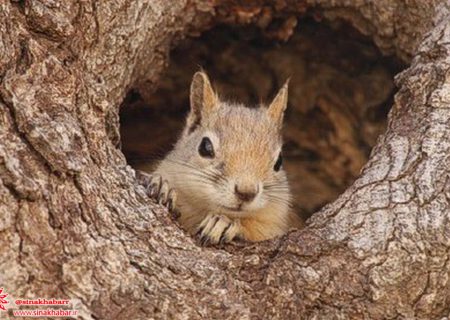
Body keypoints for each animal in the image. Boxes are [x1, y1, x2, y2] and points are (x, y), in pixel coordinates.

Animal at [135, 70, 300, 245]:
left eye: (279, 161)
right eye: (205, 147)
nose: (246, 192)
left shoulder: (275, 223)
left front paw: (224, 223)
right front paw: (161, 187)